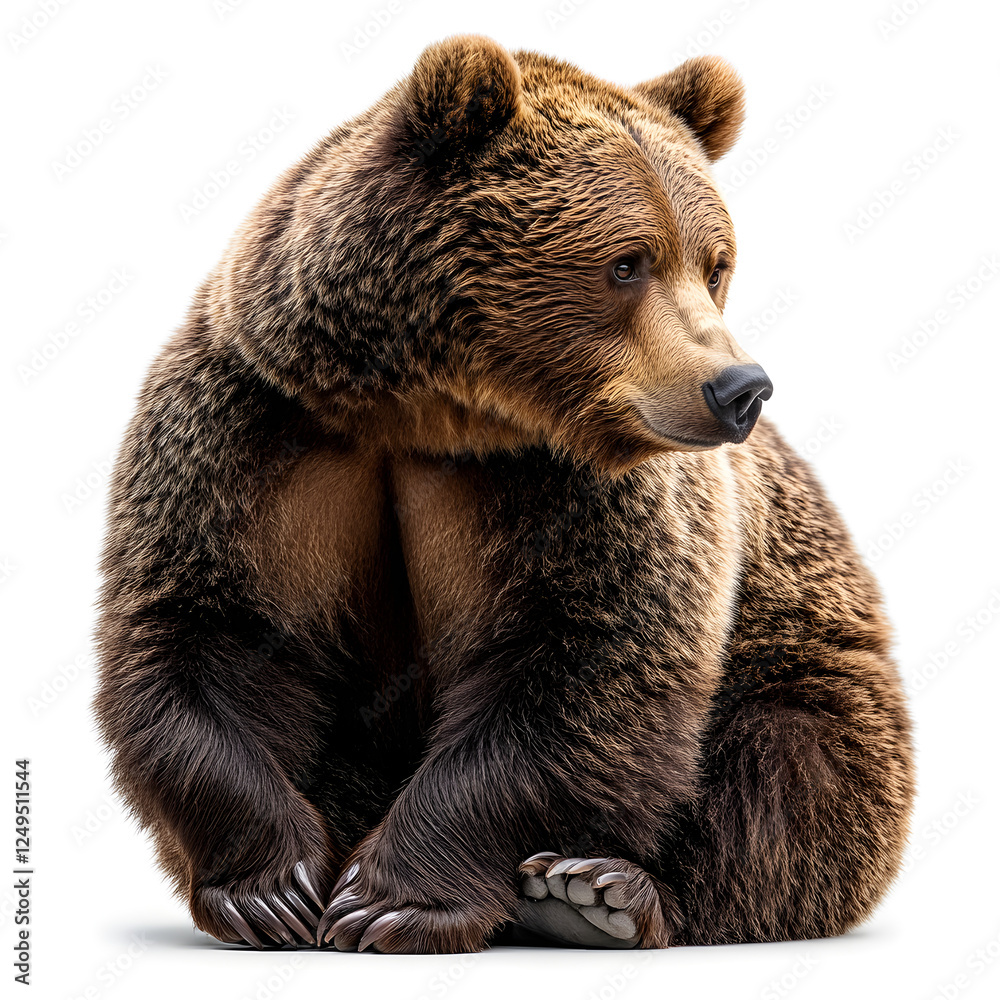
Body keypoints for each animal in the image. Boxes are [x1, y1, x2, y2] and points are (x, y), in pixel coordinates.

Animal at [94, 35, 915, 954]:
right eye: (627, 262)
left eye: (716, 264)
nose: (740, 388)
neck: (428, 415)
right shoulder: (259, 433)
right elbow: (213, 634)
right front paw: (272, 890)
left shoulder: (583, 489)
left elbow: (587, 664)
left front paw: (393, 900)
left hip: (805, 660)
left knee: (787, 771)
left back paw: (598, 893)